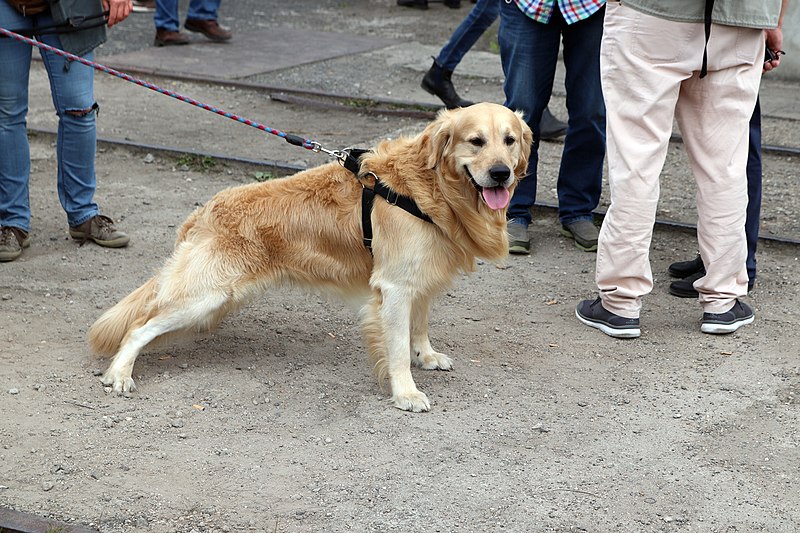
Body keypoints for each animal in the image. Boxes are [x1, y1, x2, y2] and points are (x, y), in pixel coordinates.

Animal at [89, 103, 532, 412]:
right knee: (138, 327)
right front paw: (405, 391)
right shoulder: (394, 286)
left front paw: (426, 355)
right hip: (205, 296)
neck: (429, 187)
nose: (501, 173)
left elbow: (419, 326)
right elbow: (396, 348)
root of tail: (206, 210)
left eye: (509, 140)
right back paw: (120, 374)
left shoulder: (419, 278)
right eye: (475, 141)